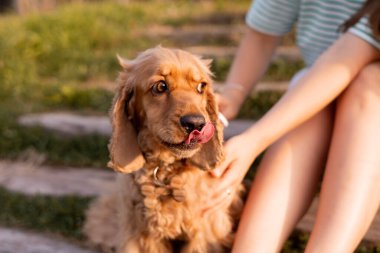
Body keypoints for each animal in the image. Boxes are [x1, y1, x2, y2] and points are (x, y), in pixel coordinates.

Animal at [84, 47, 243, 253]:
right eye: (160, 87)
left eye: (201, 87)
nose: (196, 124)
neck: (165, 169)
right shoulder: (140, 233)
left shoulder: (206, 230)